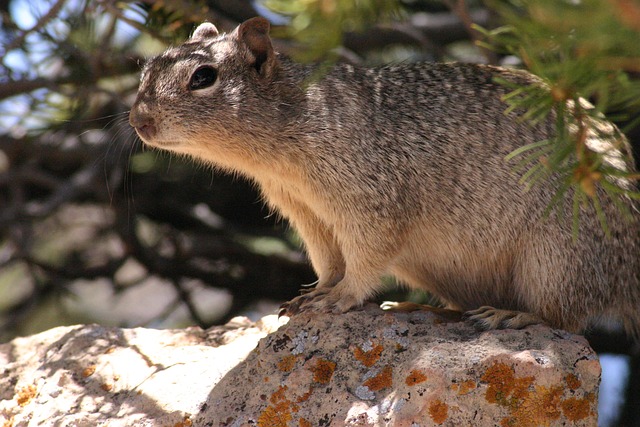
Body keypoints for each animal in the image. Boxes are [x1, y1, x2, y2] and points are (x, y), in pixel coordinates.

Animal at [130, 16, 640, 338]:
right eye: (149, 66)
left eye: (203, 77)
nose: (138, 120)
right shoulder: (308, 216)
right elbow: (327, 260)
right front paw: (314, 294)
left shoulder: (372, 199)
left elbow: (365, 257)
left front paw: (339, 298)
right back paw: (416, 306)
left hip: (557, 257)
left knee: (564, 317)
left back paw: (508, 317)